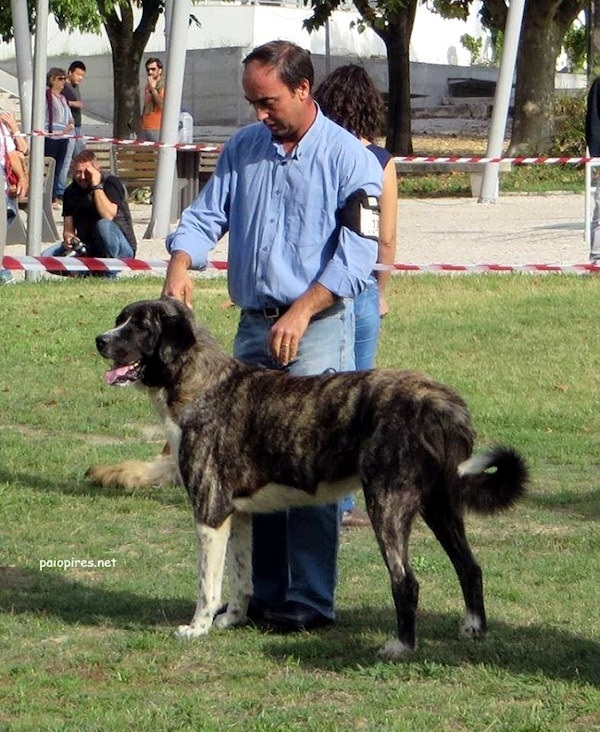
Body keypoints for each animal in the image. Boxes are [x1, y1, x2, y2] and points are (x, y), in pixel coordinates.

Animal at [88, 298, 528, 660]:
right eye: (120, 320)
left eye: (139, 327)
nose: (100, 340)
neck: (199, 383)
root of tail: (441, 401)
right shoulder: (238, 514)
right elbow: (241, 578)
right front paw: (233, 619)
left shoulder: (210, 513)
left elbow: (206, 585)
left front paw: (197, 628)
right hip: (440, 504)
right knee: (470, 566)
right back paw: (473, 627)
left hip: (387, 504)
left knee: (407, 582)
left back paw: (402, 646)